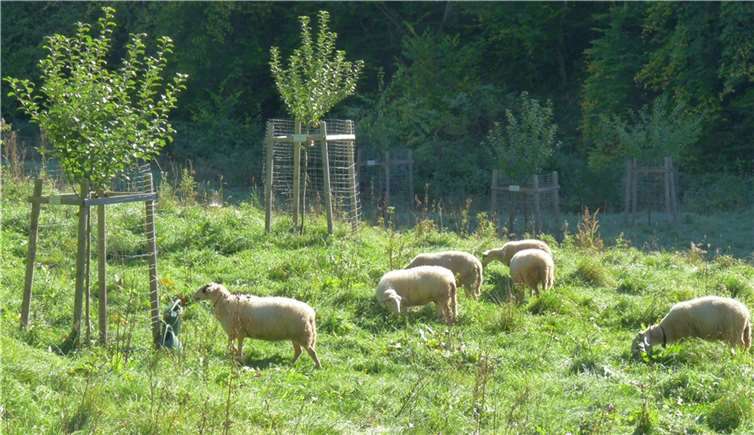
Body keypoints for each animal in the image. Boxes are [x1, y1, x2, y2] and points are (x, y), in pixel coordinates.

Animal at [193, 282, 321, 368]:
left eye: (204, 290)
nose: (194, 296)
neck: (226, 303)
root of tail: (310, 314)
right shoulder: (236, 333)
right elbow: (234, 346)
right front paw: (237, 355)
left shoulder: (236, 332)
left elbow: (234, 346)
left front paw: (238, 357)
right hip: (296, 336)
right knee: (299, 351)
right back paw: (291, 363)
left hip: (303, 335)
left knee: (311, 352)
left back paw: (318, 366)